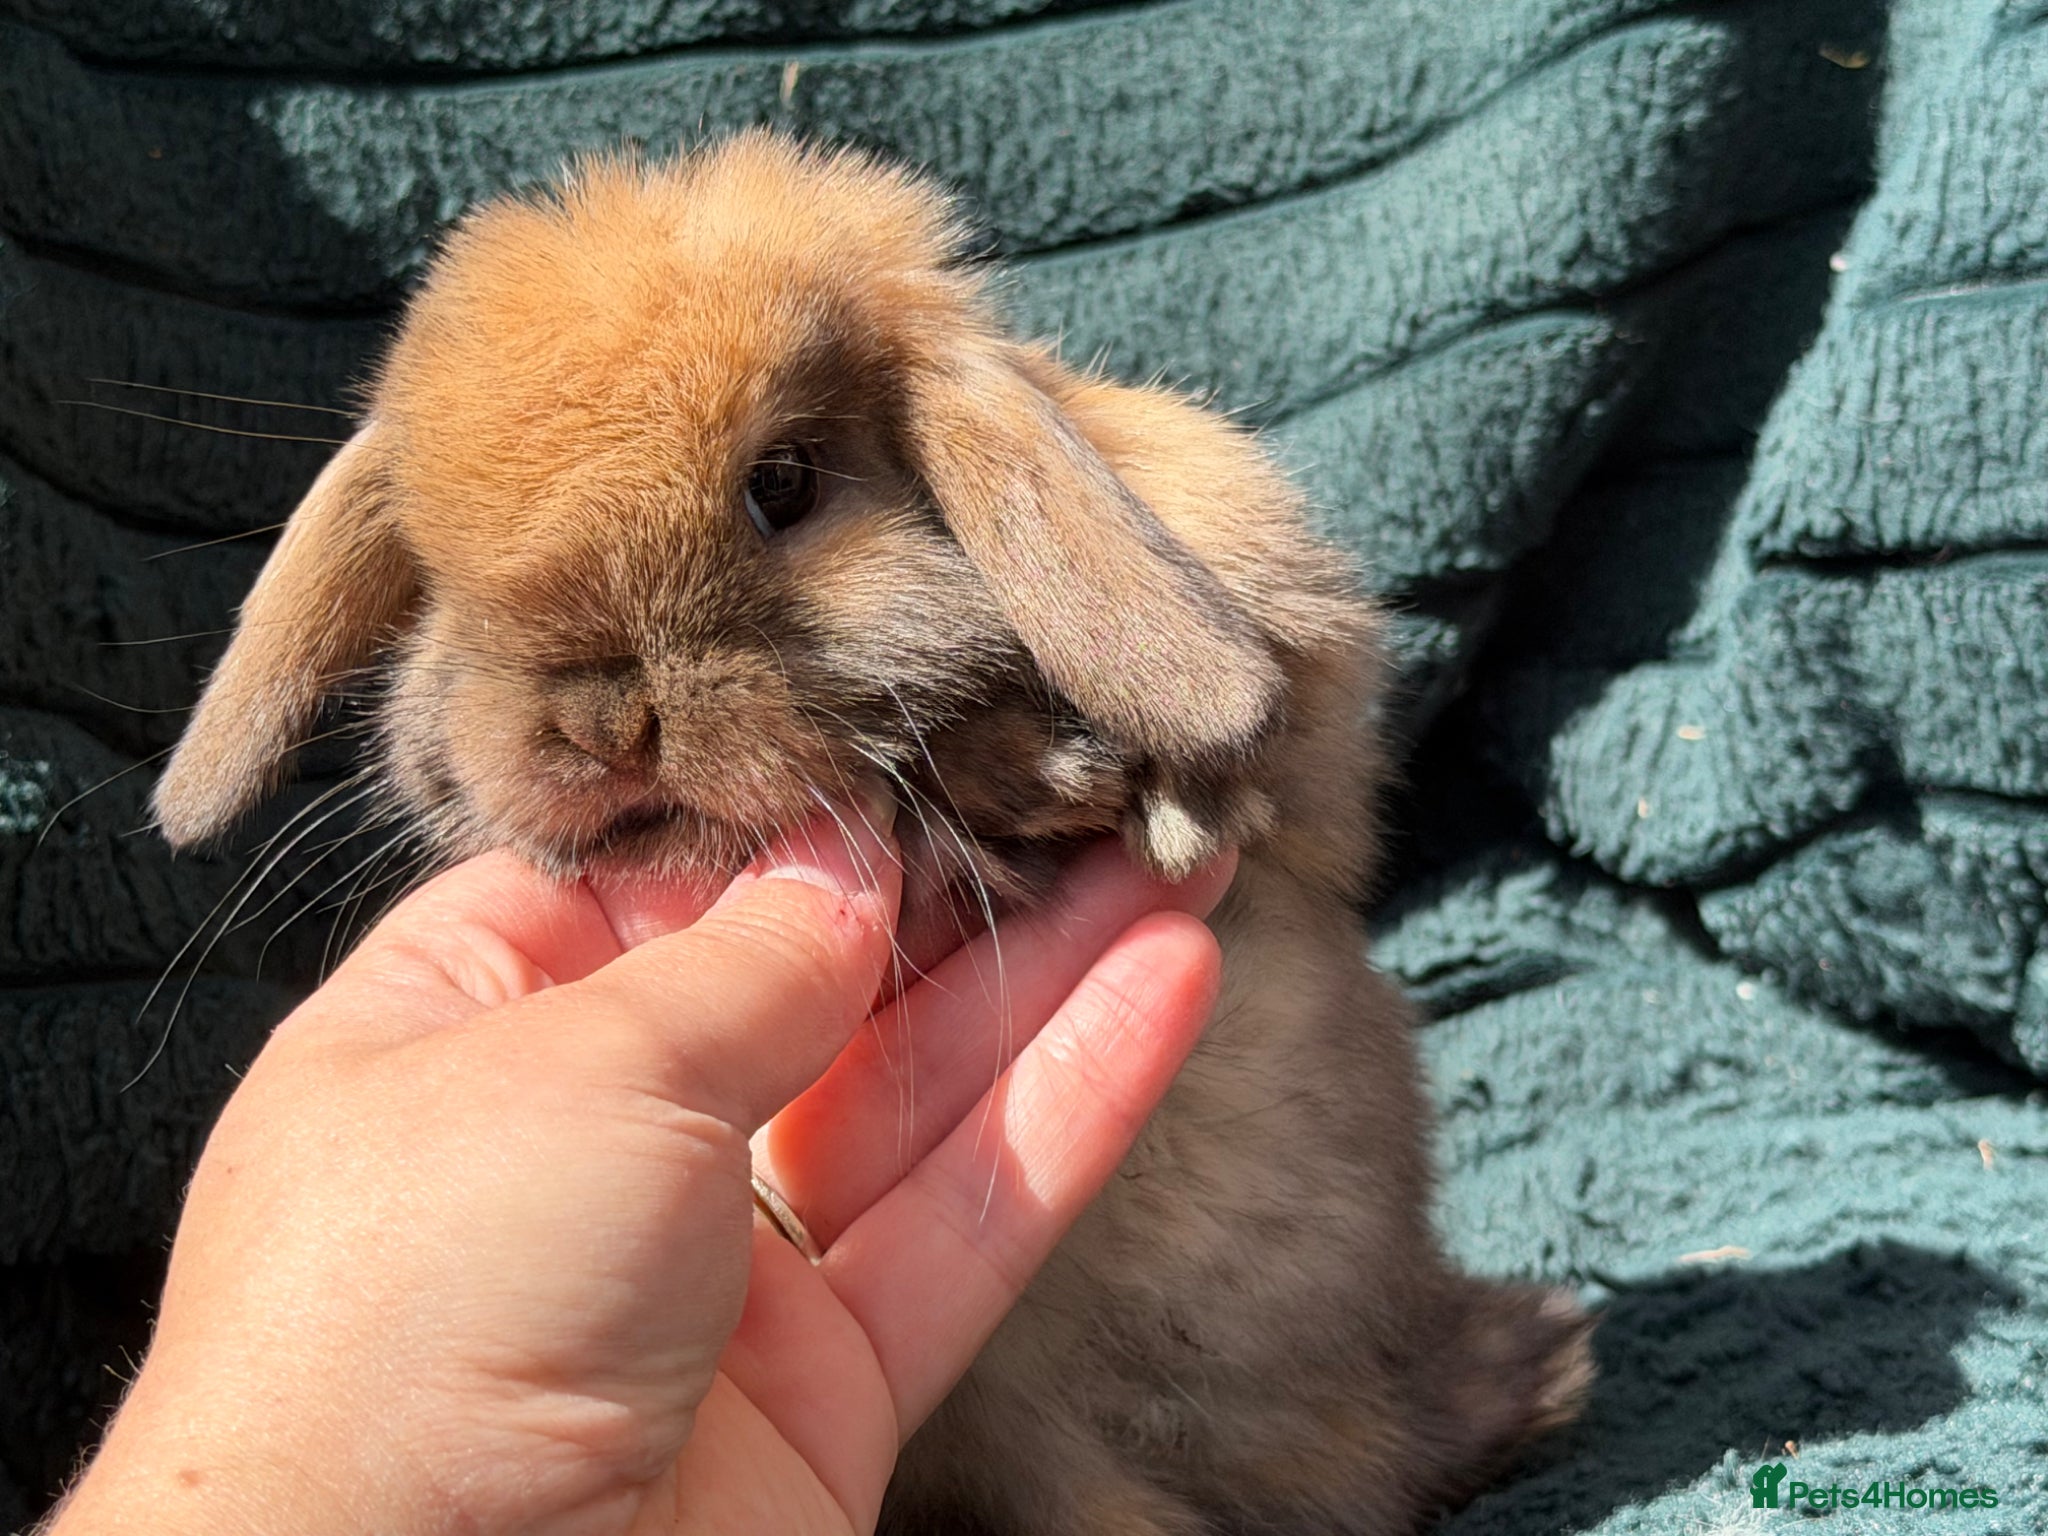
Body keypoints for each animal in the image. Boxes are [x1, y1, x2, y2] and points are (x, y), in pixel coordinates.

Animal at [152, 132, 1591, 1535]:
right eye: (436, 563)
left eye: (783, 483)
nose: (599, 722)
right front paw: (1039, 782)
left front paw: (1118, 795)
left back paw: (1539, 1362)